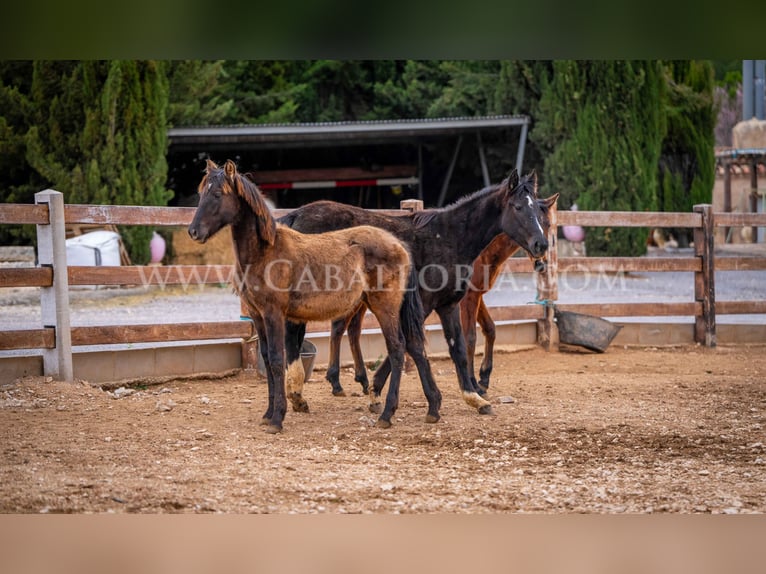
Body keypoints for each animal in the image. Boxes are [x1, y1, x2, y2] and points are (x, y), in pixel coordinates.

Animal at [188, 160, 424, 434]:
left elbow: (277, 360)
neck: (265, 252)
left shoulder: (274, 314)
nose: (193, 231)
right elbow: (267, 358)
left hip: (384, 307)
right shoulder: (258, 316)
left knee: (397, 349)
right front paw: (268, 414)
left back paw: (386, 413)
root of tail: (399, 245)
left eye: (217, 194)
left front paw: (278, 418)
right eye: (201, 193)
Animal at [280, 169, 552, 426]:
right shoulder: (424, 304)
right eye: (517, 207)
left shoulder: (447, 305)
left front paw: (474, 398)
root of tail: (296, 216)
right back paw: (298, 393)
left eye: (540, 214)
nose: (541, 245)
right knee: (295, 333)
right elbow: (414, 345)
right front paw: (407, 399)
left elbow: (457, 348)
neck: (448, 239)